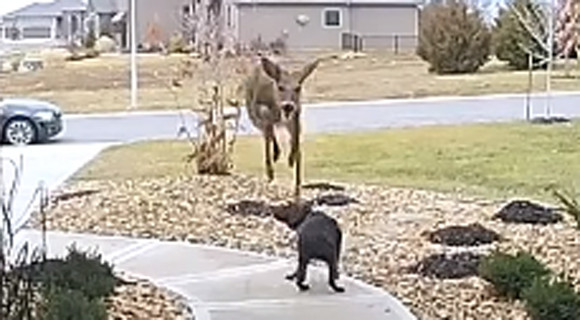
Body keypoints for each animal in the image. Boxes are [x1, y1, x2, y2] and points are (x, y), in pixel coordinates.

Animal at [244, 54, 326, 201]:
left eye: (298, 88)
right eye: (280, 87)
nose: (288, 106)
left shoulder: (296, 115)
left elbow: (296, 144)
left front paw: (292, 164)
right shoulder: (261, 111)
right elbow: (268, 137)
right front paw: (270, 173)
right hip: (253, 115)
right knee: (267, 134)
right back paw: (274, 159)